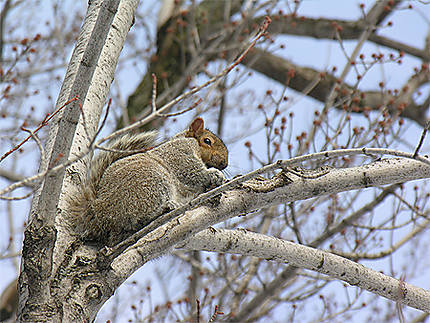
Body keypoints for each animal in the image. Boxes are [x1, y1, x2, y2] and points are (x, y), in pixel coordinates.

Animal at [69, 117, 228, 247]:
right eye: (207, 141)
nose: (224, 164)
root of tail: (99, 214)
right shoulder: (180, 154)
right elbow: (192, 172)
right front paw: (214, 174)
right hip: (151, 182)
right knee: (137, 219)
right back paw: (165, 209)